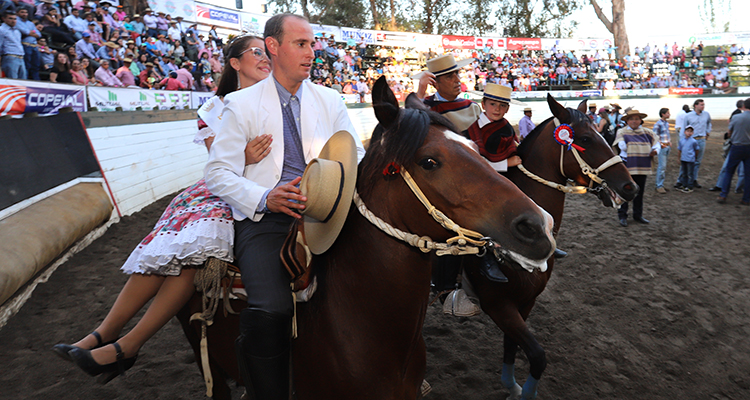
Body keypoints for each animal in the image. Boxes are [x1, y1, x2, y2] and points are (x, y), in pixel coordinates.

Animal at [446, 94, 640, 400]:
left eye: (602, 133)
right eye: (586, 138)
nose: (631, 187)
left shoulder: (526, 302)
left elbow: (512, 346)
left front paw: (511, 385)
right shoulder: (498, 304)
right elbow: (538, 356)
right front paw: (524, 391)